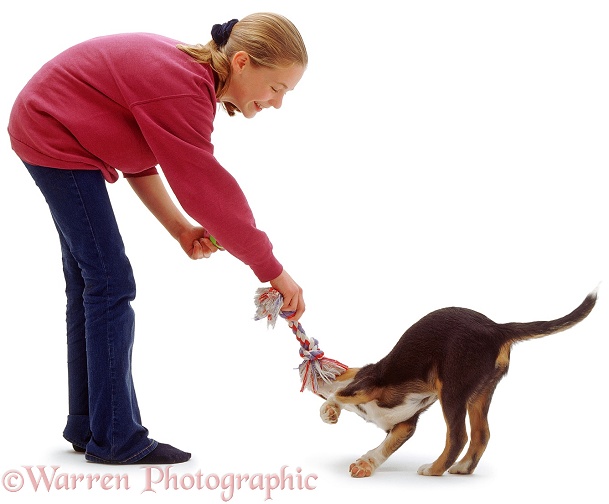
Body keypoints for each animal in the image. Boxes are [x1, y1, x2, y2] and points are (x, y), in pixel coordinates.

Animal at [316, 290, 596, 478]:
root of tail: (497, 329)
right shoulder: (404, 426)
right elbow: (384, 447)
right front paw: (366, 463)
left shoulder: (371, 385)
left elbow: (340, 395)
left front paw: (329, 411)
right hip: (480, 392)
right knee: (481, 433)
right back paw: (462, 467)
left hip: (452, 389)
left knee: (458, 435)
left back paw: (434, 469)